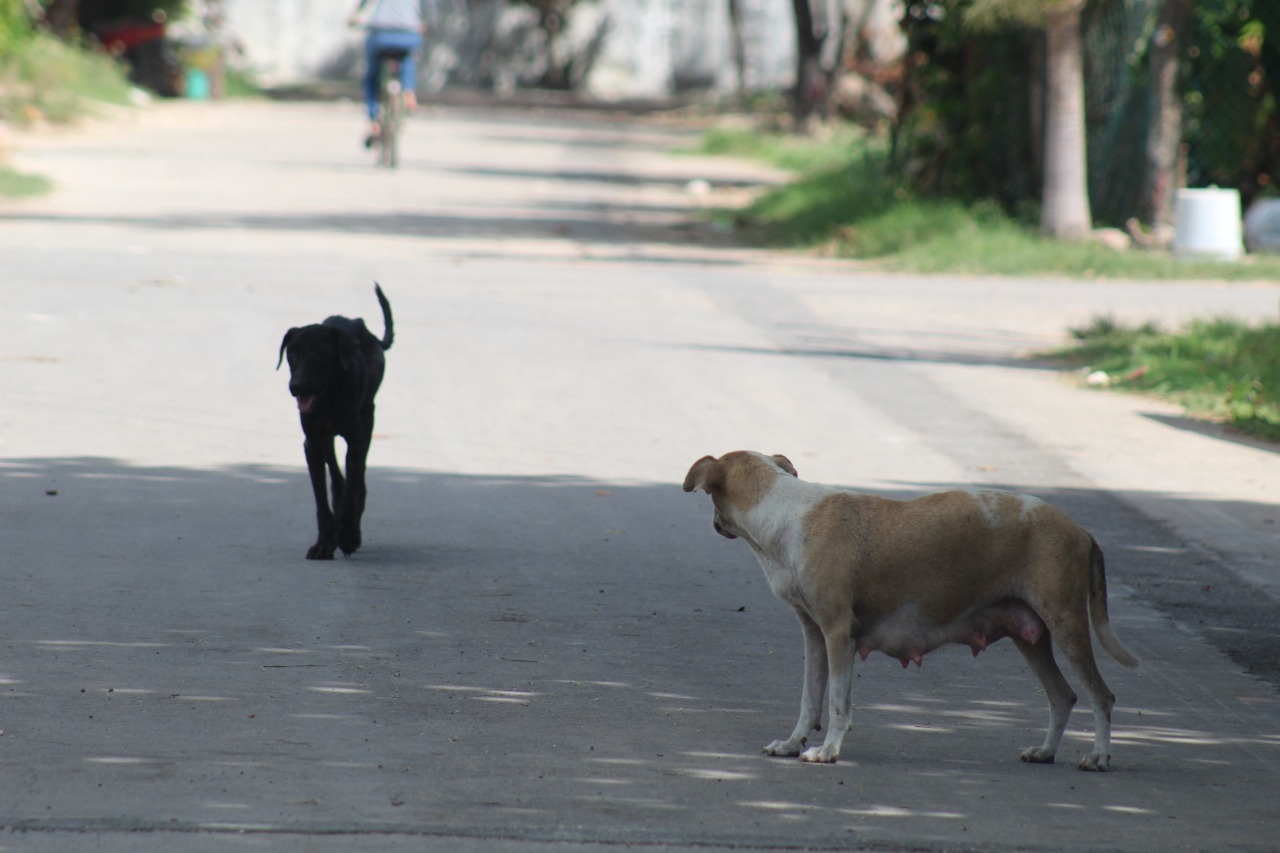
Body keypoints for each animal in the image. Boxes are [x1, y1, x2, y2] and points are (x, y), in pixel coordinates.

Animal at [280, 281, 394, 555]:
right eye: (292, 353)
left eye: (320, 353)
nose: (296, 387)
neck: (328, 399)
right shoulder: (311, 443)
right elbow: (322, 498)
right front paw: (324, 543)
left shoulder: (355, 439)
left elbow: (353, 485)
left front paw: (349, 535)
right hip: (325, 437)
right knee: (336, 474)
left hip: (368, 417)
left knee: (358, 476)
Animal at [680, 450, 1141, 768]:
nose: (714, 526)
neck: (784, 512)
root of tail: (1082, 531)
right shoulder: (814, 636)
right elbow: (809, 700)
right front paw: (794, 743)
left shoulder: (838, 635)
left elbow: (837, 704)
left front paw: (828, 750)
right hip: (1031, 637)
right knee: (1063, 696)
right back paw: (1045, 752)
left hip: (1066, 626)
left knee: (1101, 695)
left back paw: (1099, 757)